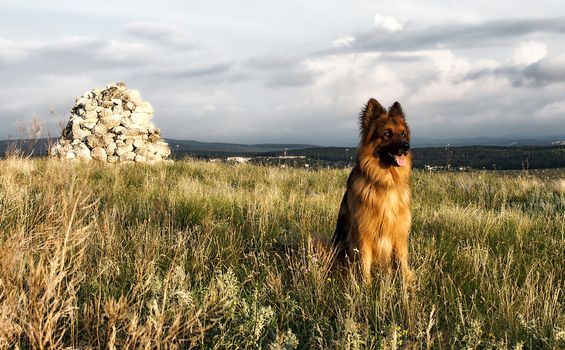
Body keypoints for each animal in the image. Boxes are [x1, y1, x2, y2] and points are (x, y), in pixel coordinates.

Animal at [332, 98, 412, 284]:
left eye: (403, 134)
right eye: (387, 134)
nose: (406, 147)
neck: (385, 183)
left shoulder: (400, 236)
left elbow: (402, 267)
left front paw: (407, 286)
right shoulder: (363, 235)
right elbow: (364, 267)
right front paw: (366, 289)